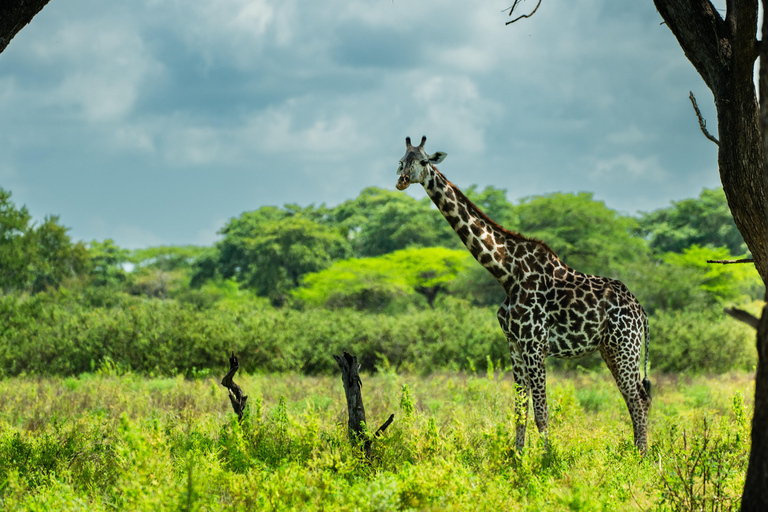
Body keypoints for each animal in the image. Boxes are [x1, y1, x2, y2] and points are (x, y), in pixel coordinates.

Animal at [396, 135, 656, 452]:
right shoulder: (515, 345)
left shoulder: (535, 345)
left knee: (638, 399)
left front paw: (548, 458)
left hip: (625, 346)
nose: (401, 181)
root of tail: (641, 311)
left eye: (423, 161)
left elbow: (541, 413)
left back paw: (641, 457)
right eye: (401, 160)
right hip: (610, 349)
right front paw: (518, 458)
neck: (505, 272)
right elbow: (519, 411)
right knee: (636, 398)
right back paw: (638, 452)